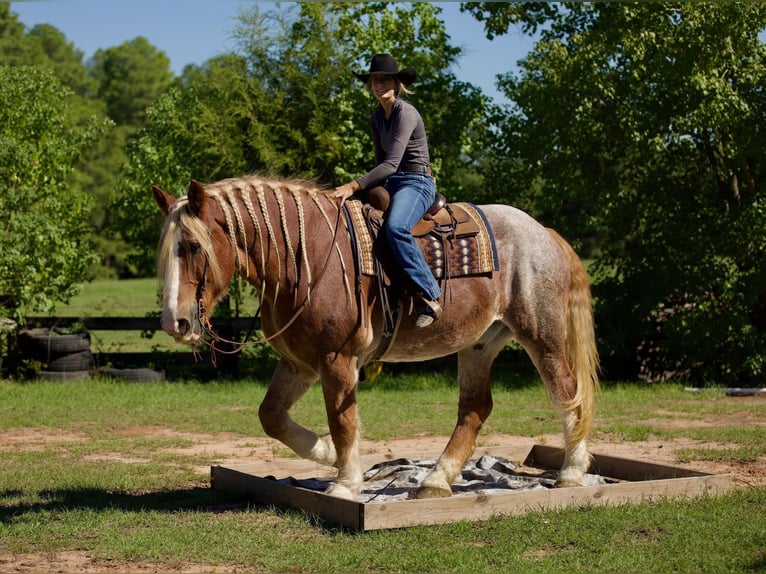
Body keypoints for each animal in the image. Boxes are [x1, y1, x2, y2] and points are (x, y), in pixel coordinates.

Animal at [154, 178, 600, 502]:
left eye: (192, 246)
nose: (175, 322)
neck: (304, 256)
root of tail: (544, 232)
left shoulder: (336, 359)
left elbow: (342, 421)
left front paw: (344, 482)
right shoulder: (300, 363)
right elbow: (272, 416)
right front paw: (328, 457)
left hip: (541, 334)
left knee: (566, 393)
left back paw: (571, 473)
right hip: (479, 344)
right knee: (474, 410)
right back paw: (435, 480)